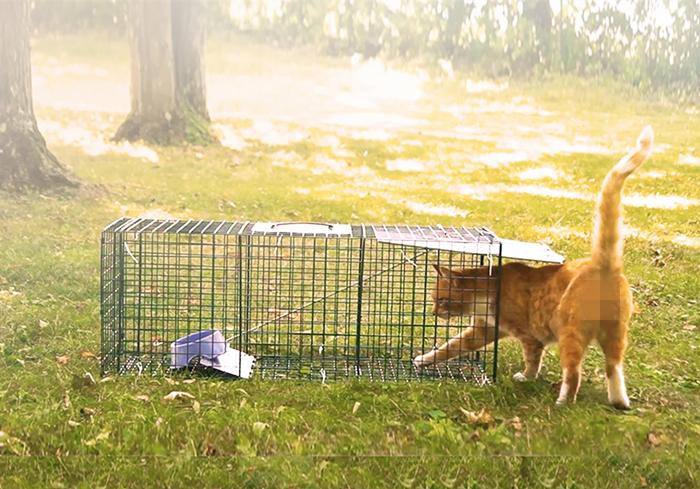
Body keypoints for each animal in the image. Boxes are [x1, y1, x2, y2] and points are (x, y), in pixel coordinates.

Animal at [412, 126, 652, 408]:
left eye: (440, 299)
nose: (433, 312)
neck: (488, 290)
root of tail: (603, 264)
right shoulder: (483, 329)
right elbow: (450, 346)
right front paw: (424, 359)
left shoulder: (529, 336)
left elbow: (532, 360)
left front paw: (525, 377)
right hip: (616, 334)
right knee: (614, 367)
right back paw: (619, 402)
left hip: (571, 334)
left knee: (574, 372)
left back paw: (563, 402)